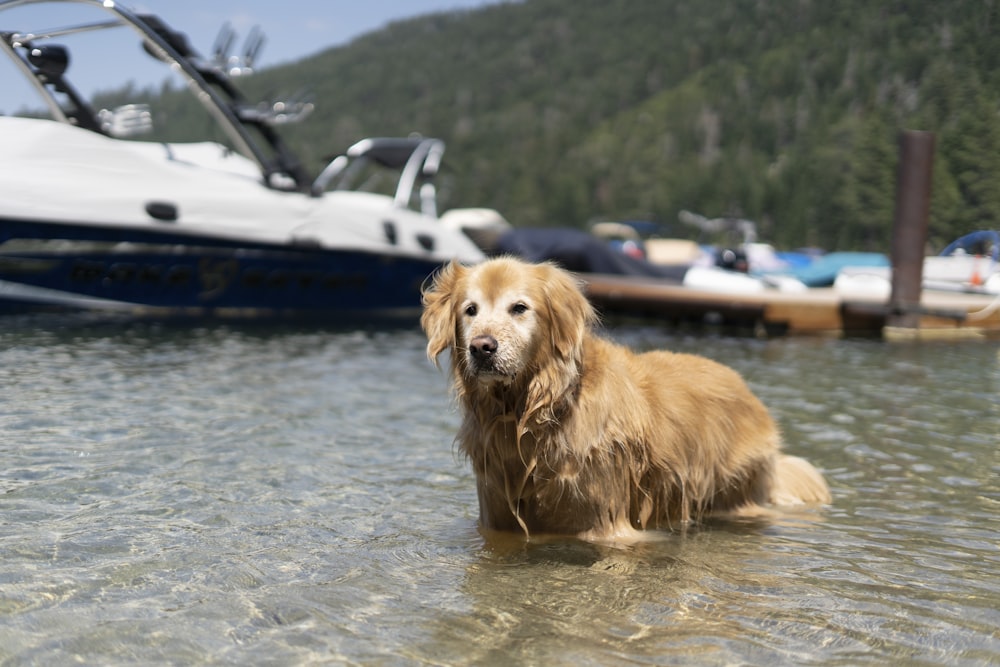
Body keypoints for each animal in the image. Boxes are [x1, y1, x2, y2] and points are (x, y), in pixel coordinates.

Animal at [420, 256, 828, 544]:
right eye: (470, 310)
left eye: (519, 308)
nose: (482, 348)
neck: (532, 413)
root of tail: (747, 390)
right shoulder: (496, 518)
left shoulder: (608, 523)